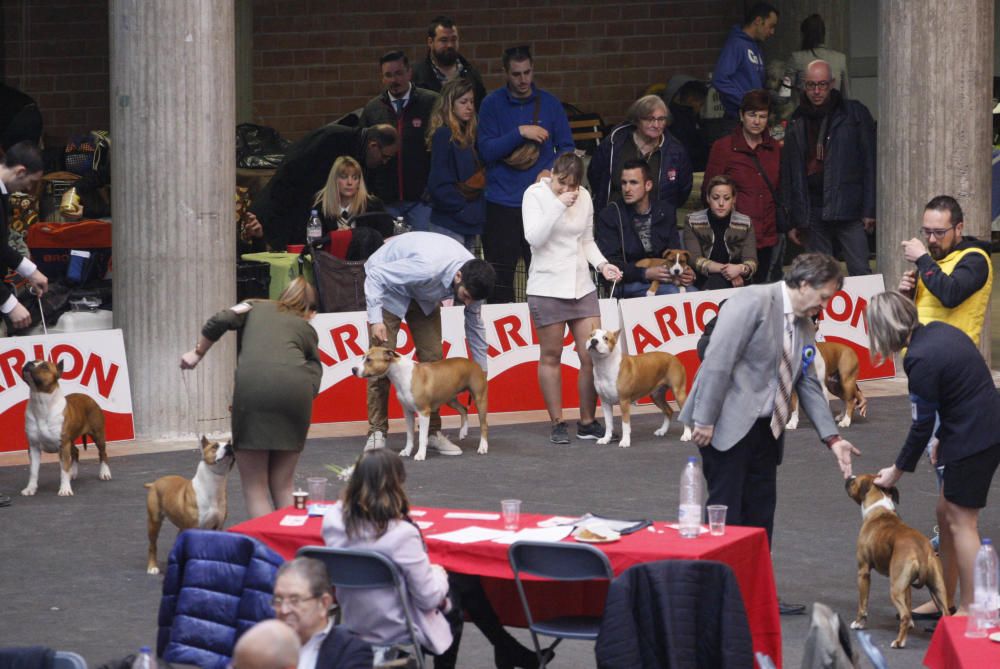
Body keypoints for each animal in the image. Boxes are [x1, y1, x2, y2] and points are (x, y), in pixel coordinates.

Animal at [20, 360, 109, 496]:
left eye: (45, 366)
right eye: (33, 361)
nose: (29, 363)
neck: (41, 403)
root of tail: (88, 398)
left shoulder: (63, 446)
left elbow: (64, 469)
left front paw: (65, 489)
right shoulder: (34, 447)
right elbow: (33, 471)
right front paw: (30, 488)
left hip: (97, 434)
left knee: (102, 452)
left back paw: (104, 473)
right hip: (70, 440)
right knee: (76, 452)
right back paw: (73, 473)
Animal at [144, 434, 235, 576]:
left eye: (230, 444)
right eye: (215, 446)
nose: (229, 447)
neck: (213, 487)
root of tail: (155, 483)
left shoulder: (218, 526)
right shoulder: (194, 527)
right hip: (154, 521)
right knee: (152, 545)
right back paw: (152, 567)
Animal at [354, 344, 490, 460]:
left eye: (369, 360)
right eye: (362, 358)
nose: (353, 369)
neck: (401, 374)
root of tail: (475, 363)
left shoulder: (423, 412)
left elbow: (422, 437)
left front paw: (420, 454)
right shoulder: (408, 412)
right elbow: (409, 435)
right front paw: (407, 451)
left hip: (480, 399)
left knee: (483, 425)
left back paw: (483, 447)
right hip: (450, 398)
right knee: (463, 409)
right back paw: (463, 432)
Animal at [844, 472, 944, 644]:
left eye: (854, 482)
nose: (849, 476)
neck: (879, 508)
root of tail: (921, 550)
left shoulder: (863, 572)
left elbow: (863, 604)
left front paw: (859, 623)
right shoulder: (907, 585)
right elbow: (909, 602)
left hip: (895, 590)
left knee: (904, 614)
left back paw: (899, 642)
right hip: (938, 590)